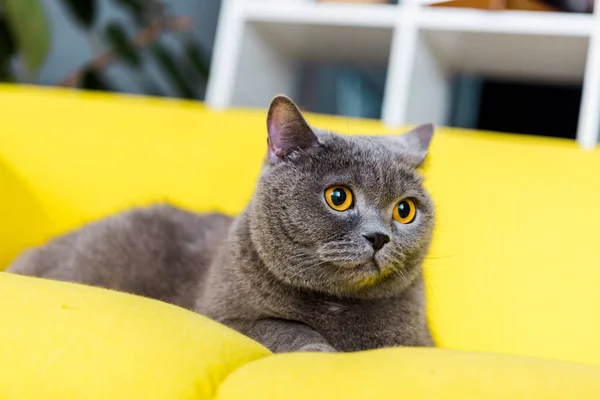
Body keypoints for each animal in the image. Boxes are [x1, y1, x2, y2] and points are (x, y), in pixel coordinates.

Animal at [5, 95, 436, 352]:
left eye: (405, 210)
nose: (379, 237)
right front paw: (320, 351)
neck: (337, 307)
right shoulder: (224, 319)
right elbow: (284, 326)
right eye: (338, 197)